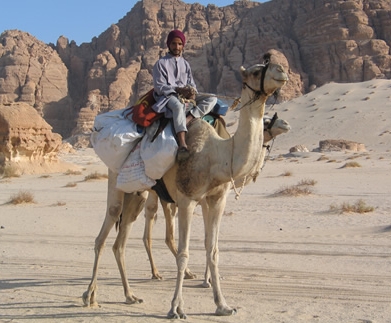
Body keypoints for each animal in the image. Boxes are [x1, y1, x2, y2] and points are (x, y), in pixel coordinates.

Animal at [143, 115, 290, 282]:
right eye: (266, 121)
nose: (285, 124)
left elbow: (211, 239)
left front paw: (212, 277)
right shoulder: (204, 198)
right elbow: (208, 239)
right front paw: (208, 280)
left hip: (152, 193)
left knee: (150, 220)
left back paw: (157, 272)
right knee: (166, 234)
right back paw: (181, 273)